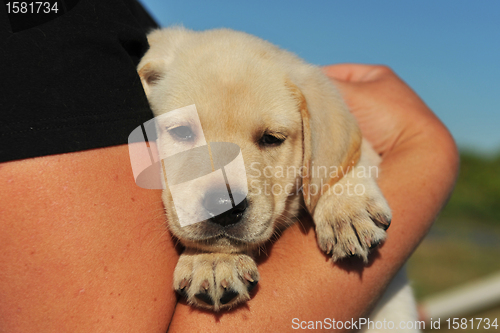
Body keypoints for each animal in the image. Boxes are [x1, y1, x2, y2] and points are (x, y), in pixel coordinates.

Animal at [136, 27, 418, 328]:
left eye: (271, 138)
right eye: (181, 132)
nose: (224, 206)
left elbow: (336, 164)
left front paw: (346, 208)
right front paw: (211, 261)